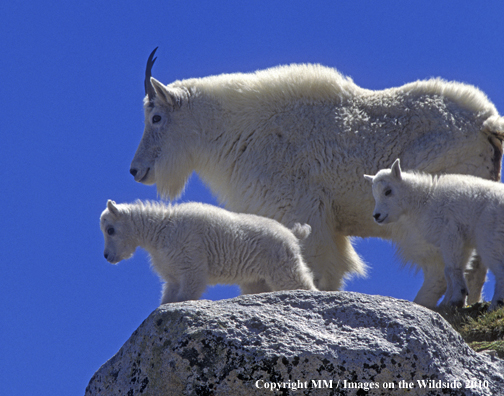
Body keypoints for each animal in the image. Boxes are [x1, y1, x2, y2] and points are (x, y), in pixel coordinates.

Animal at [131, 47, 504, 306]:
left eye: (156, 117)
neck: (238, 131)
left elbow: (318, 270)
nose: (136, 170)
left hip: (420, 215)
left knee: (443, 267)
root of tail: (487, 123)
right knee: (474, 265)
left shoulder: (302, 212)